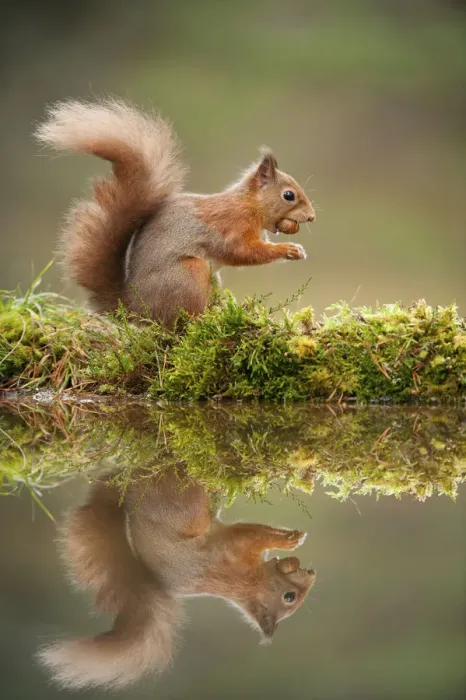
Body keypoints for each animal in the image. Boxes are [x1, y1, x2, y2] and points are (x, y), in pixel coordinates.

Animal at [35, 98, 316, 327]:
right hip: (188, 274)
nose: (312, 217)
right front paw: (289, 250)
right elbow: (242, 252)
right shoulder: (231, 227)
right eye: (288, 195)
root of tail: (139, 309)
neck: (248, 206)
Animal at [38, 468, 316, 690]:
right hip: (187, 509)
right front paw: (289, 540)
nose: (312, 574)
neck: (250, 584)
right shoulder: (235, 549)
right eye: (289, 597)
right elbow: (257, 533)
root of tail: (129, 500)